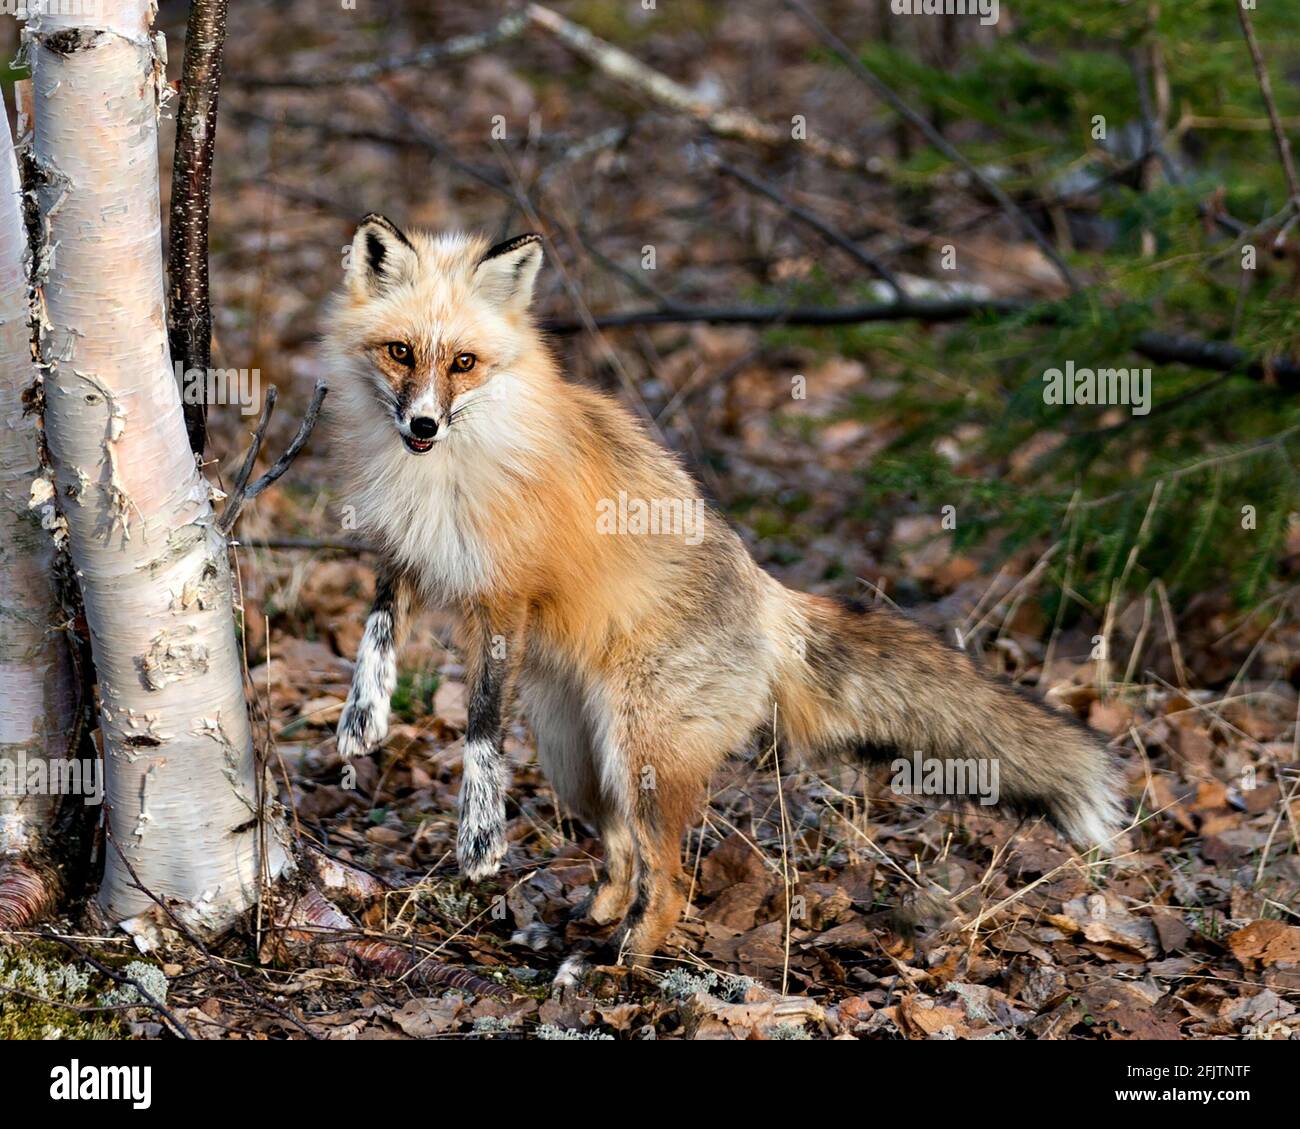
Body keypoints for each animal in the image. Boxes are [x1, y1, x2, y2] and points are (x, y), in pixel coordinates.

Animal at [325, 218, 1128, 962]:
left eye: (464, 363)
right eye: (401, 352)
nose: (423, 423)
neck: (445, 469)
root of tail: (771, 598)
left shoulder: (508, 592)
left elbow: (483, 728)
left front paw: (480, 832)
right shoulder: (407, 548)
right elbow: (378, 625)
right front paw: (363, 716)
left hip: (640, 754)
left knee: (672, 882)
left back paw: (619, 965)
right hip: (578, 760)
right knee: (625, 852)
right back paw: (592, 921)